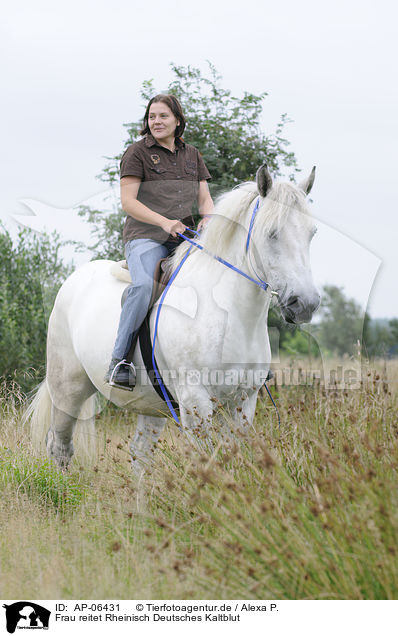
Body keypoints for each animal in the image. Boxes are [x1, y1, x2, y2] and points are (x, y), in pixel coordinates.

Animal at [26, 164, 320, 472]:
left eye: (311, 233)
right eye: (272, 233)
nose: (305, 304)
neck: (229, 316)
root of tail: (73, 281)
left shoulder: (243, 402)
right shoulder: (196, 403)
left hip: (150, 404)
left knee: (140, 455)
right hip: (68, 391)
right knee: (60, 446)